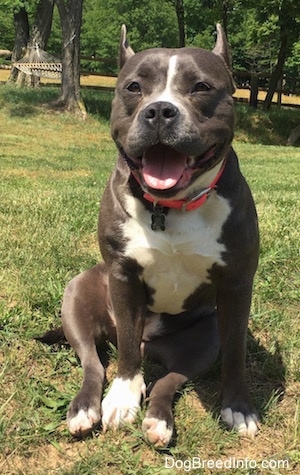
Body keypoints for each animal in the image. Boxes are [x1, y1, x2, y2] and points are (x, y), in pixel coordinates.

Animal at [39, 24, 260, 448]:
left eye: (201, 87)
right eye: (133, 87)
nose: (159, 110)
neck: (170, 207)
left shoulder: (238, 285)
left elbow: (237, 351)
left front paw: (239, 406)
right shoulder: (124, 277)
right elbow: (125, 350)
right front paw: (123, 396)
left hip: (204, 339)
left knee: (168, 380)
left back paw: (158, 421)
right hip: (75, 297)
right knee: (94, 362)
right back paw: (85, 409)